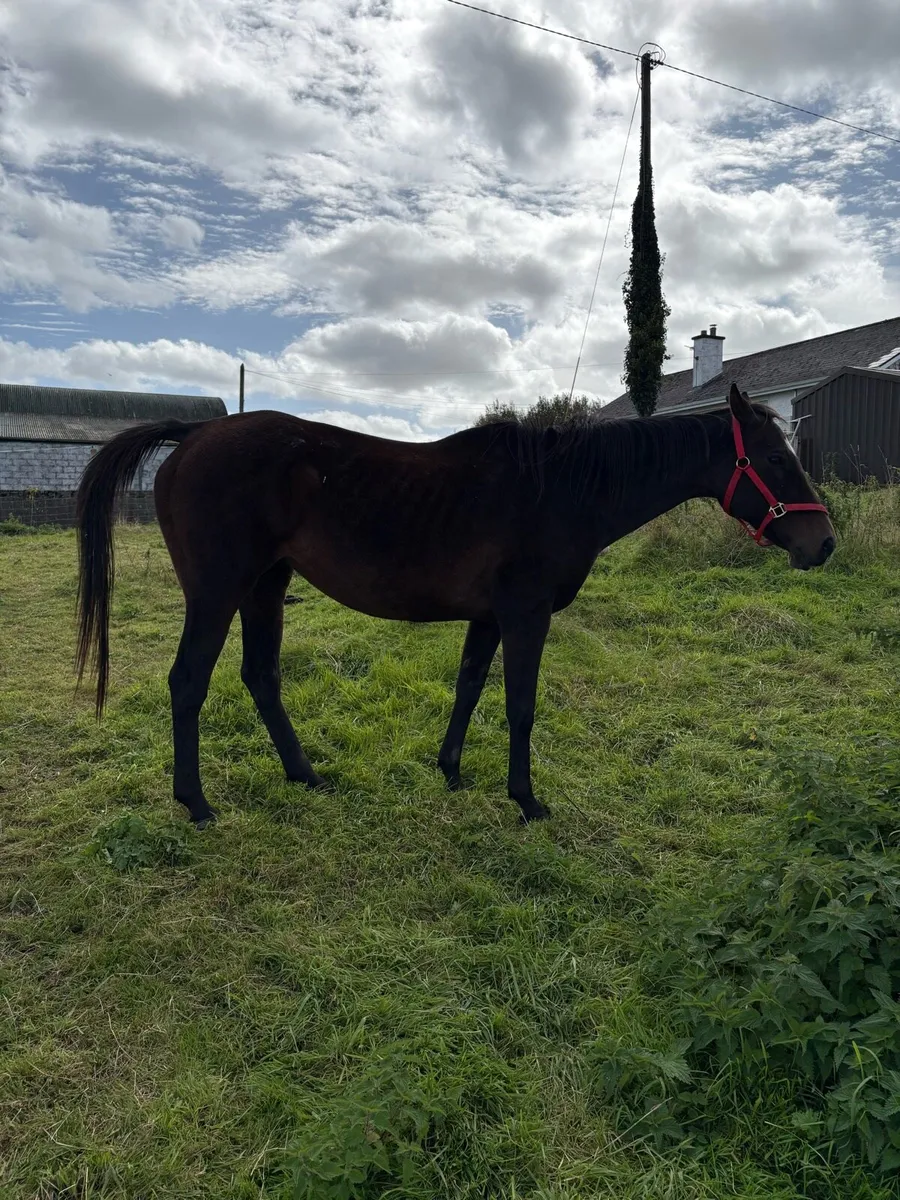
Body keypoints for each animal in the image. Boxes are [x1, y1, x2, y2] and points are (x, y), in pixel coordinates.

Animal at [75, 383, 834, 829]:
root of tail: (193, 435)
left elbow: (469, 686)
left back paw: (305, 776)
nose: (822, 542)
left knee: (261, 678)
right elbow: (520, 705)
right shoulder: (526, 615)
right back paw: (196, 802)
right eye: (774, 457)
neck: (563, 488)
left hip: (266, 587)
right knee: (188, 683)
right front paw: (526, 798)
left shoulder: (489, 617)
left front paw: (451, 769)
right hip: (218, 592)